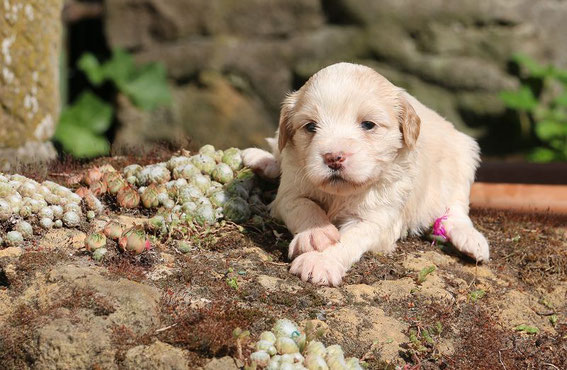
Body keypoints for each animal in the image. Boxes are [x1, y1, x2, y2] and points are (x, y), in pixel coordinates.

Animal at [243, 62, 488, 286]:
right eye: (311, 127)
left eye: (368, 124)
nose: (333, 157)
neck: (341, 193)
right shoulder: (290, 190)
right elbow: (302, 205)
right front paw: (315, 234)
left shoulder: (376, 219)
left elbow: (349, 240)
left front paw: (320, 261)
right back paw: (262, 160)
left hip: (464, 158)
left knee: (455, 210)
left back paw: (471, 241)